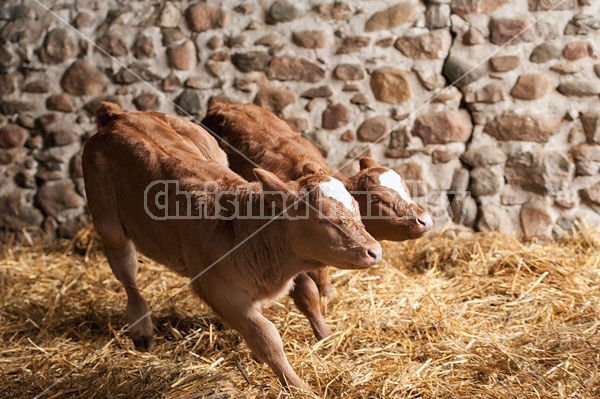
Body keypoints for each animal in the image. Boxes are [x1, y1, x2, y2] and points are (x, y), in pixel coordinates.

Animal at [82, 101, 382, 390]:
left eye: (356, 208)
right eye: (324, 218)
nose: (375, 251)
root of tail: (119, 116)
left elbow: (302, 298)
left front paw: (325, 339)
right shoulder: (219, 290)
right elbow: (267, 336)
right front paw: (299, 387)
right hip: (106, 218)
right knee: (126, 269)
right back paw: (141, 328)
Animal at [204, 101, 434, 340]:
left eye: (406, 188)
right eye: (379, 199)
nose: (424, 220)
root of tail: (223, 105)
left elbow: (321, 277)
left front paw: (328, 295)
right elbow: (307, 291)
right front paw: (323, 333)